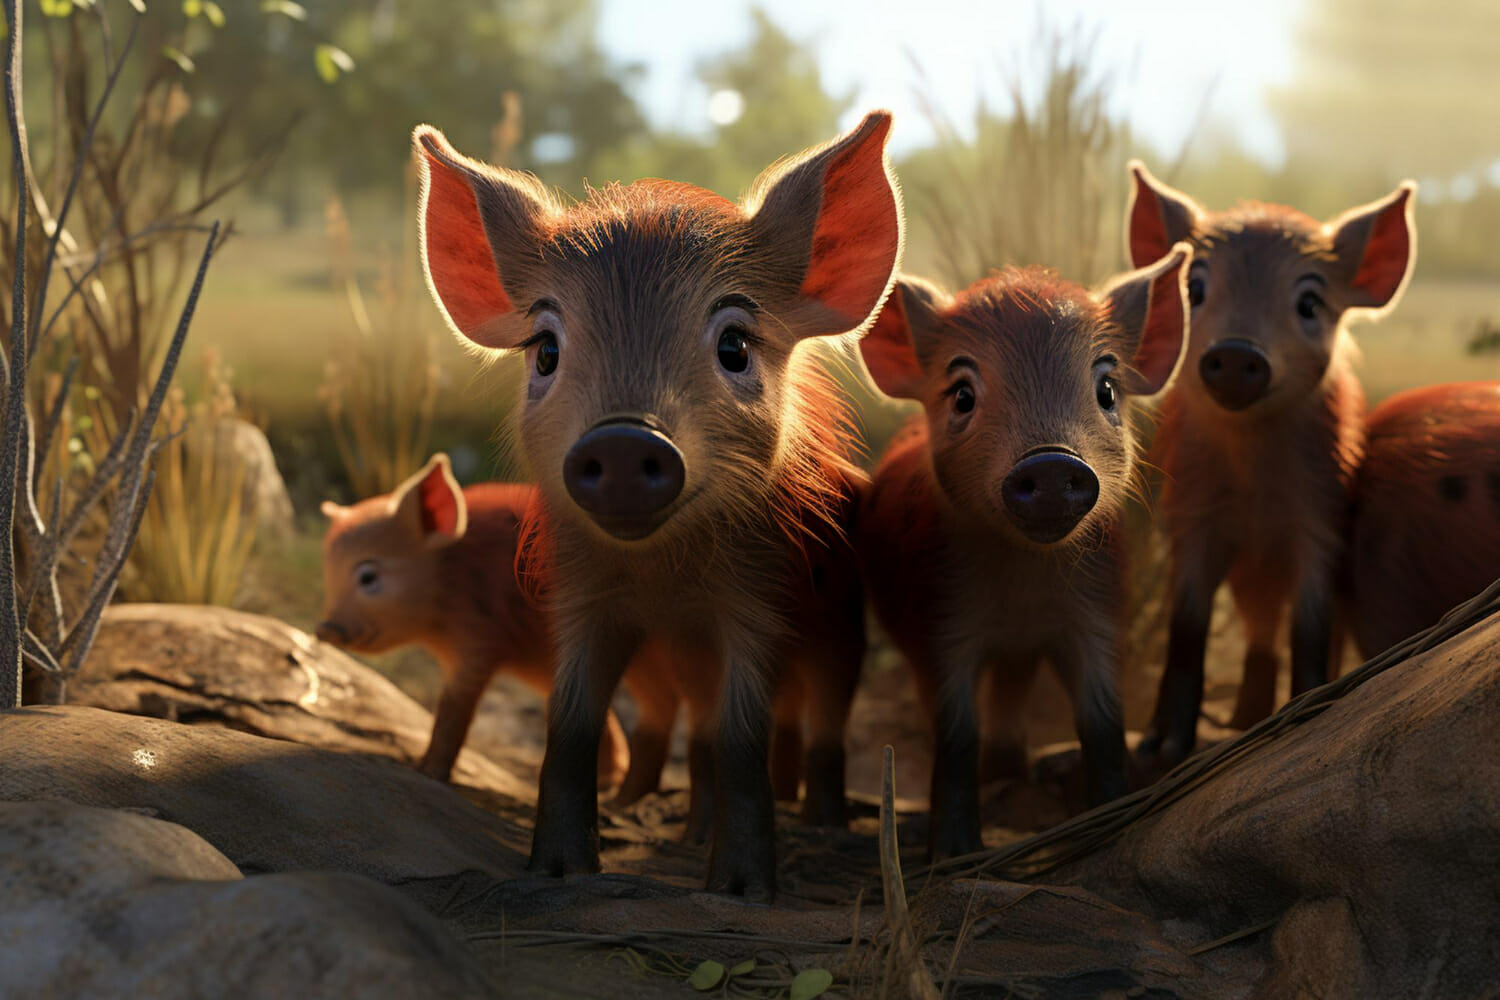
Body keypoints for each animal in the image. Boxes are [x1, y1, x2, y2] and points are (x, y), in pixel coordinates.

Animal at [316, 454, 630, 787]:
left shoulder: (480, 638)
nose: (324, 629)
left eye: (368, 576)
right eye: (329, 575)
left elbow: (454, 709)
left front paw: (426, 772)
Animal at [412, 111, 902, 897]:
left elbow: (743, 738)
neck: (664, 582)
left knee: (820, 726)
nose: (621, 439)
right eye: (545, 350)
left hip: (841, 631)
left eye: (735, 345)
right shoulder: (583, 601)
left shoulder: (760, 602)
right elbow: (570, 725)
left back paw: (823, 825)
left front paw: (742, 893)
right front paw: (557, 871)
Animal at [857, 247, 1192, 859]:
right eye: (962, 394)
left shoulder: (1101, 614)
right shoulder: (938, 622)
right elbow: (956, 734)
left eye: (1107, 389)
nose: (1053, 462)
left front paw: (1108, 820)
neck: (1025, 588)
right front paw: (955, 855)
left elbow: (1103, 724)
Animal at [1126, 163, 1417, 767]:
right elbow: (1187, 628)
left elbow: (1309, 627)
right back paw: (1231, 723)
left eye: (1309, 303)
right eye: (1194, 289)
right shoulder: (1191, 518)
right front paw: (1162, 753)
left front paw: (1306, 717)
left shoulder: (1322, 516)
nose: (1237, 352)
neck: (1252, 479)